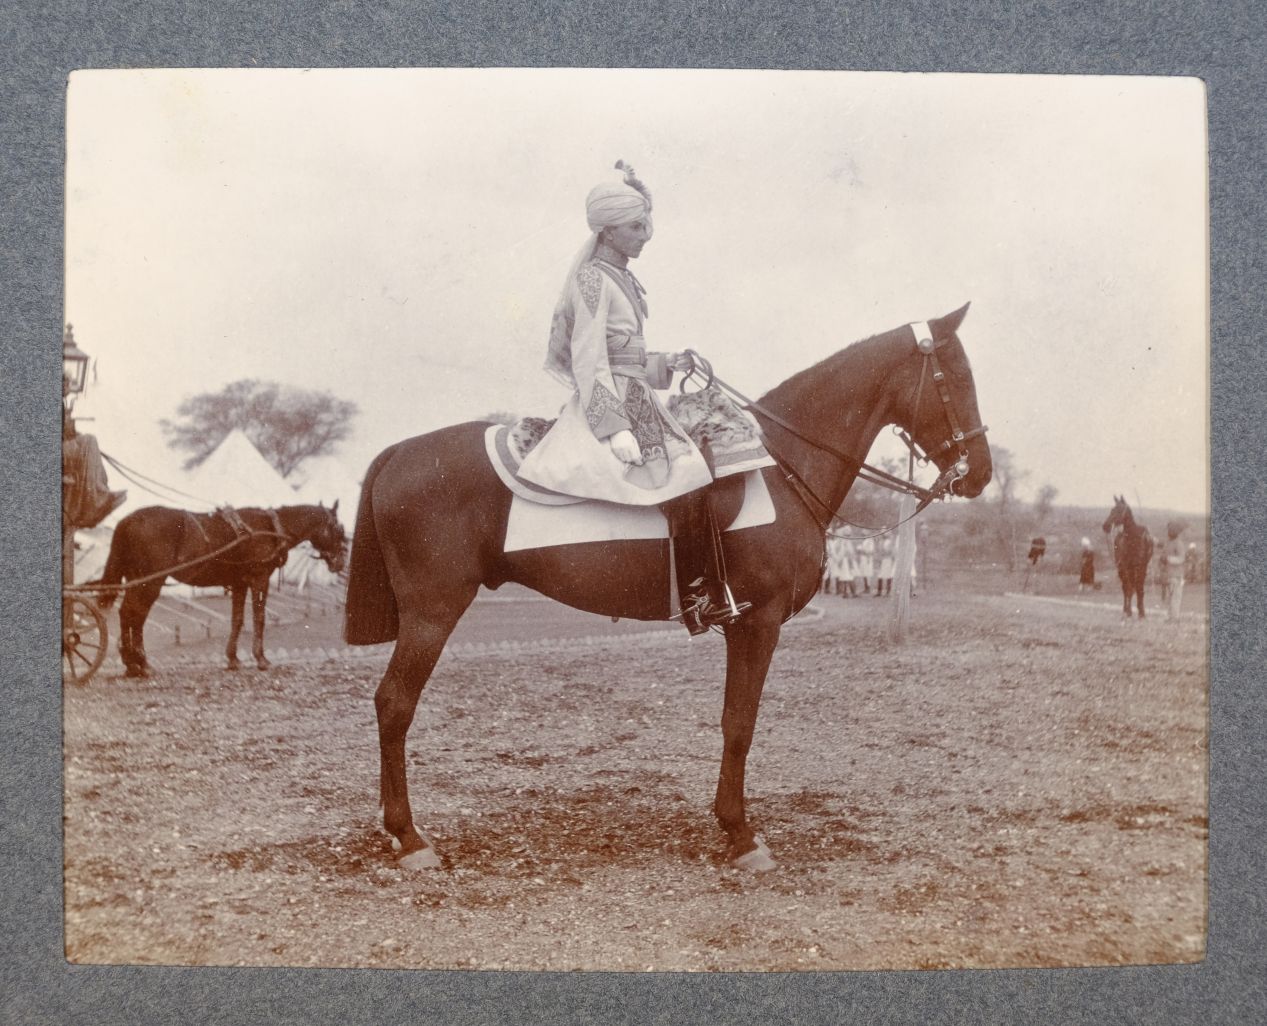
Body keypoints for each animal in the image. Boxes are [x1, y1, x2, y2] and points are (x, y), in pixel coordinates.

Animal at [344, 304, 988, 871]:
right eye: (957, 376)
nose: (980, 472)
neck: (781, 466)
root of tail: (400, 451)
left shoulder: (745, 626)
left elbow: (733, 720)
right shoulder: (758, 624)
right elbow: (739, 723)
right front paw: (740, 833)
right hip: (433, 613)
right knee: (394, 704)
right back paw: (409, 838)